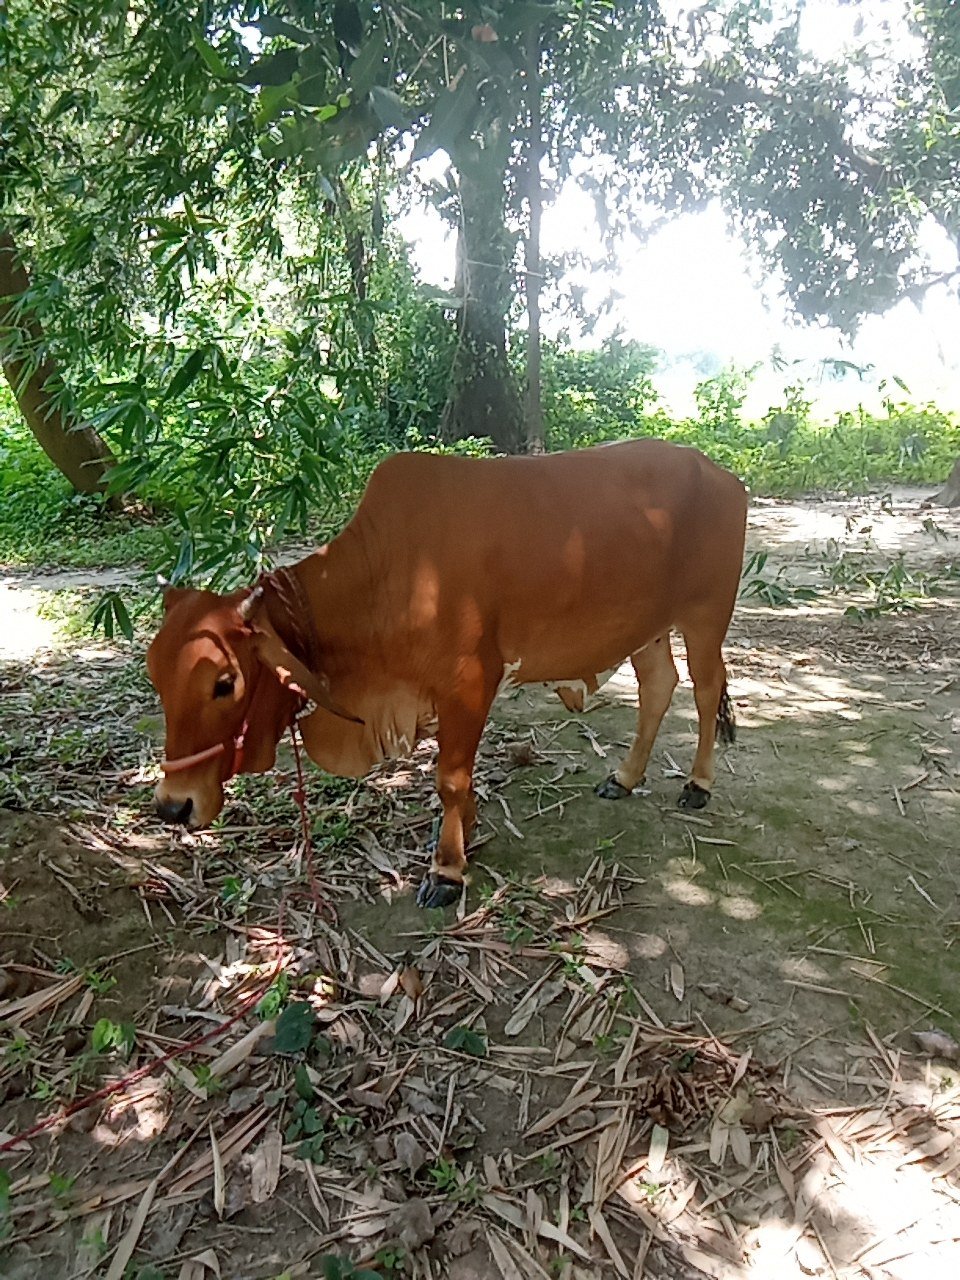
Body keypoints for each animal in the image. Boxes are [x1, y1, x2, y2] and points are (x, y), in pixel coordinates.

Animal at [147, 440, 747, 908]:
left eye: (224, 683)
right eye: (156, 679)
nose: (174, 806)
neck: (384, 576)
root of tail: (723, 475)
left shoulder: (469, 682)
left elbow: (450, 778)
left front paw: (447, 870)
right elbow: (458, 777)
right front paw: (469, 828)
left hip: (706, 615)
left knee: (706, 687)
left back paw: (697, 785)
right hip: (647, 626)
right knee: (658, 686)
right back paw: (624, 777)